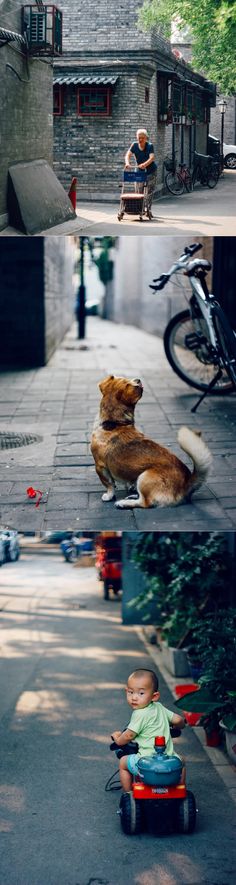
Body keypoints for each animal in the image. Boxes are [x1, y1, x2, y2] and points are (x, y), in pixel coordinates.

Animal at [91, 376, 212, 508]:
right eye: (127, 380)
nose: (138, 379)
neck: (114, 424)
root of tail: (186, 483)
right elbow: (126, 482)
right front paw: (129, 488)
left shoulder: (100, 466)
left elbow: (109, 484)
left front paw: (109, 496)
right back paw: (133, 495)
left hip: (144, 477)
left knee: (146, 502)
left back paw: (124, 503)